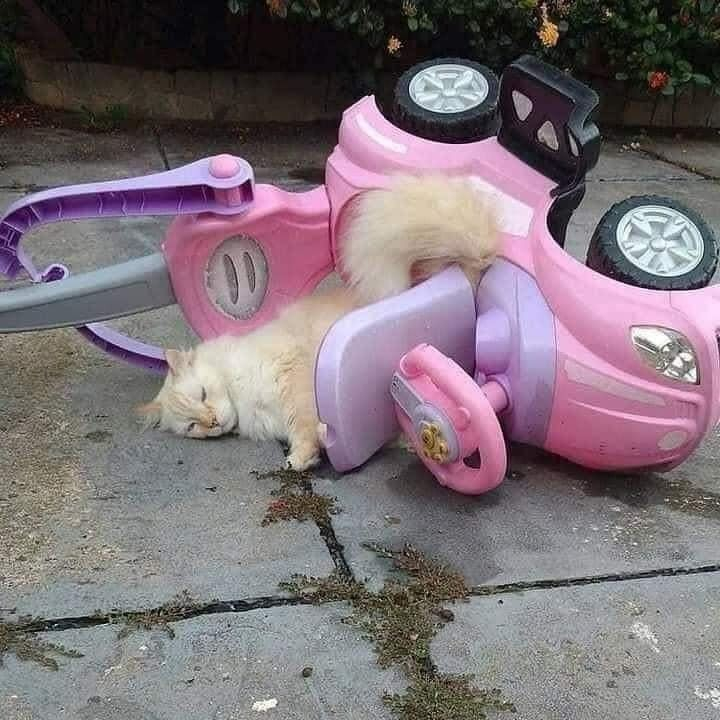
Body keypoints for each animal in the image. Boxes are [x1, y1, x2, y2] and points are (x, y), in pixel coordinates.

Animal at [138, 174, 498, 466]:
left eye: (202, 394)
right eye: (191, 426)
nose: (212, 422)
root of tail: (462, 272)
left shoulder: (293, 378)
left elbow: (304, 426)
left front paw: (301, 459)